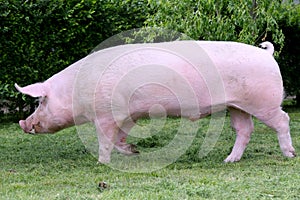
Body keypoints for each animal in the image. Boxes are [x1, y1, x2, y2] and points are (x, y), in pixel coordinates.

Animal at [14, 39, 296, 163]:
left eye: (41, 102)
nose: (23, 123)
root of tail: (267, 54)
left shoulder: (105, 114)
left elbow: (105, 140)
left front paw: (101, 163)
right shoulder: (127, 114)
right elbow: (119, 138)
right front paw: (133, 150)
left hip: (264, 101)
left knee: (283, 120)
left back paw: (290, 155)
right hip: (236, 105)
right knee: (244, 130)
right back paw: (229, 161)